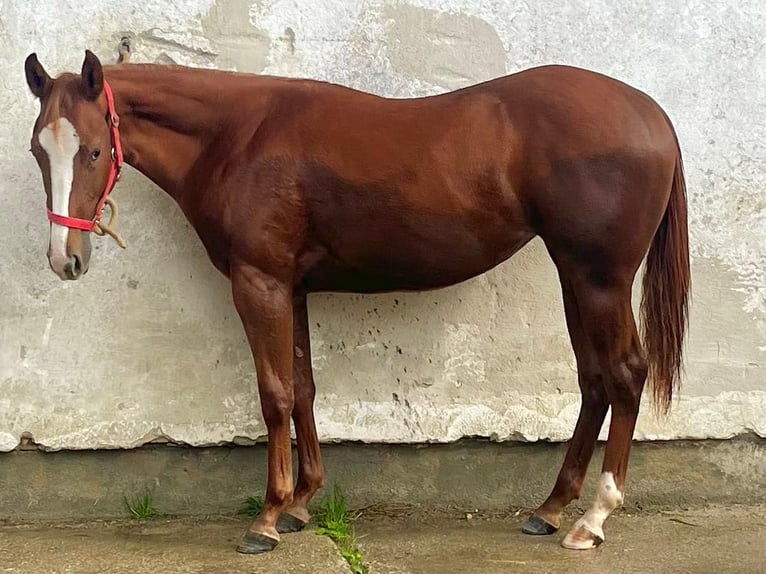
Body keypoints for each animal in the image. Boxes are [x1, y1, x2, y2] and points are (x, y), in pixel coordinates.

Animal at [24, 49, 689, 554]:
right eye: (37, 150)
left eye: (93, 150)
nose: (65, 258)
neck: (237, 138)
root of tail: (653, 114)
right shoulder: (289, 287)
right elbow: (303, 386)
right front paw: (301, 503)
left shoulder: (259, 283)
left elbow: (275, 395)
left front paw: (268, 519)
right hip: (574, 275)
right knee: (594, 380)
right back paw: (550, 509)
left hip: (599, 279)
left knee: (625, 375)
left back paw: (592, 520)